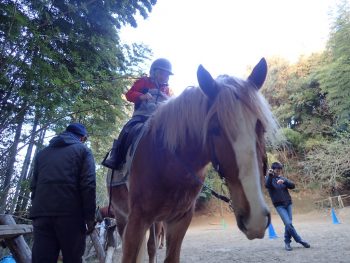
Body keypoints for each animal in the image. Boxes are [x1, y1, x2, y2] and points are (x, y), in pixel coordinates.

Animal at [108, 58, 278, 263]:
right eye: (215, 128)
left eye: (260, 126)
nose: (256, 219)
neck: (169, 165)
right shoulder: (137, 220)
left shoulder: (179, 220)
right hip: (122, 218)